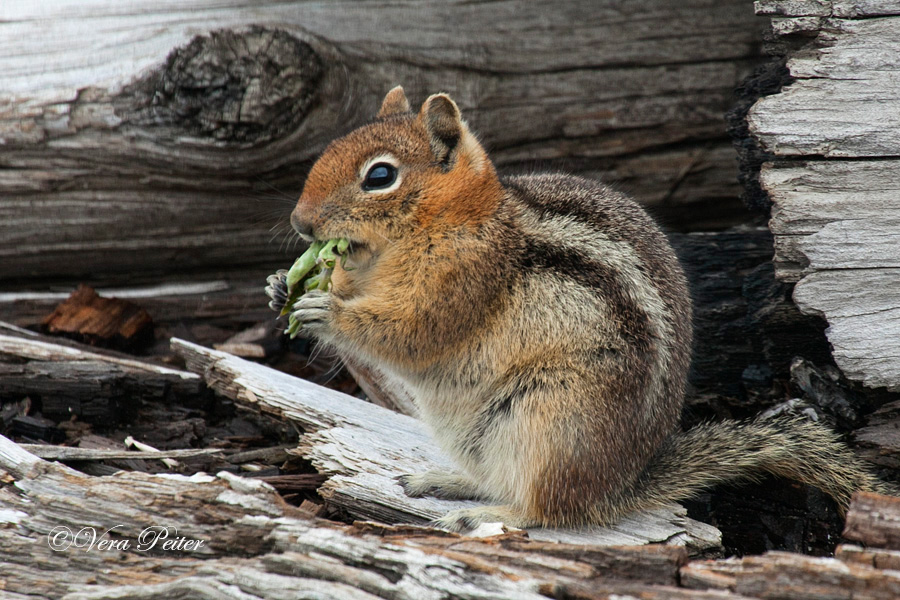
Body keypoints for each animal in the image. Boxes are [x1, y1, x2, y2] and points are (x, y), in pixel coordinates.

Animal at [264, 85, 888, 528]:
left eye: (380, 176)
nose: (300, 222)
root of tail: (619, 487)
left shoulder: (462, 282)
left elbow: (410, 335)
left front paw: (325, 313)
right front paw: (279, 285)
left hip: (550, 421)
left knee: (548, 510)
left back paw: (489, 513)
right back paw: (450, 483)